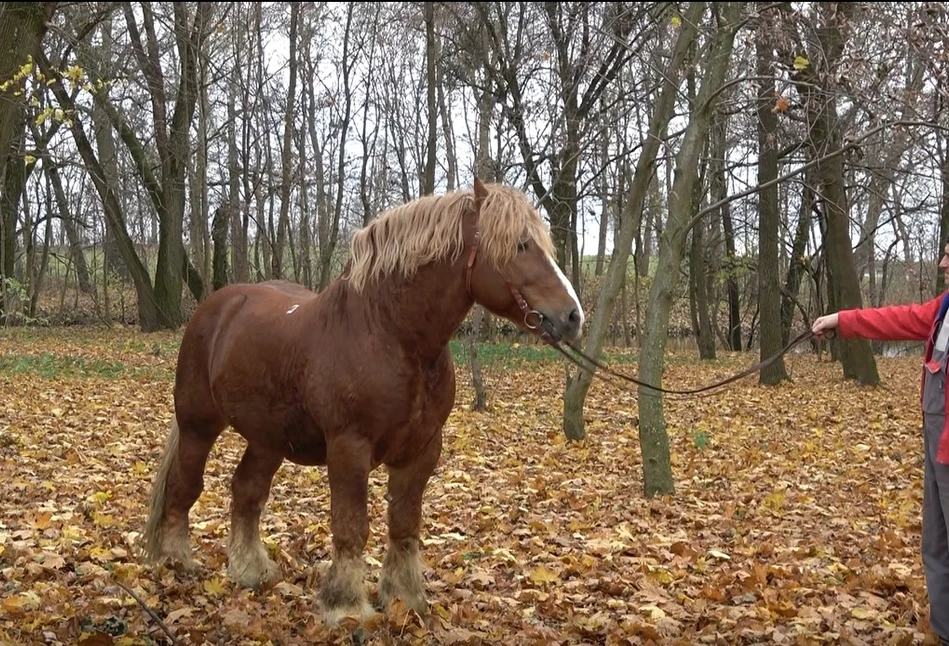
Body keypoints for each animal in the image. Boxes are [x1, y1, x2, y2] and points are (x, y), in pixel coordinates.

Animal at [142, 177, 584, 628]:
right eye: (520, 244)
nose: (572, 317)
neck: (390, 335)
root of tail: (217, 306)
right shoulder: (349, 448)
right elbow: (351, 527)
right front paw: (346, 605)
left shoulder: (421, 450)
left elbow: (404, 524)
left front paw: (405, 596)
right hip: (198, 425)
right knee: (185, 486)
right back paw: (177, 562)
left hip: (268, 438)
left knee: (246, 491)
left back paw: (250, 570)